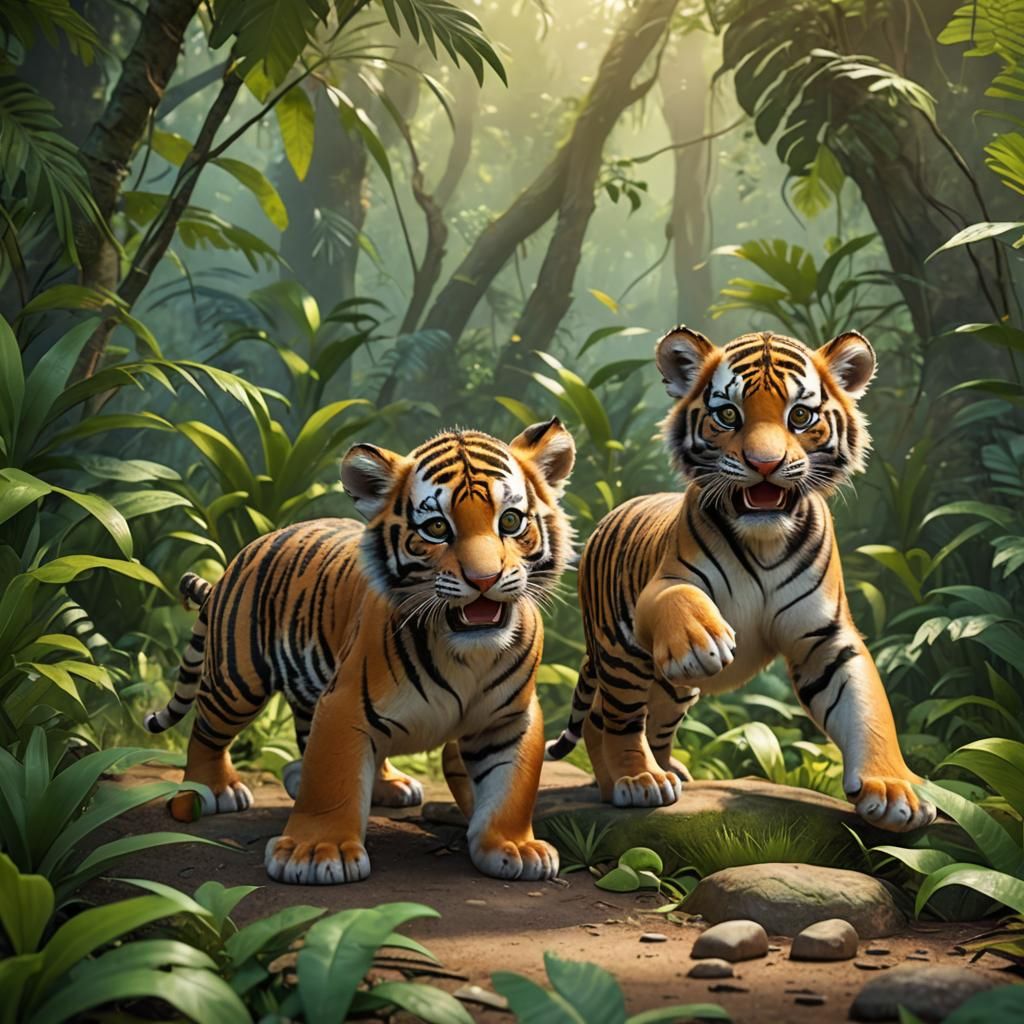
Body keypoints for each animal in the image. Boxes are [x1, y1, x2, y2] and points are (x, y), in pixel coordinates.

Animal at [144, 419, 575, 884]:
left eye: (510, 521)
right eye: (436, 528)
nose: (484, 579)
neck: (465, 652)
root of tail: (252, 547)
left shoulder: (510, 717)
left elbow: (511, 785)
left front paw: (513, 847)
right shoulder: (344, 702)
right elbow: (332, 778)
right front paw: (317, 853)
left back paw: (384, 786)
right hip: (237, 679)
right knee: (207, 731)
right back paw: (208, 791)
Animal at [545, 327, 936, 833]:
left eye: (800, 415)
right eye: (728, 414)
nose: (765, 464)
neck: (765, 539)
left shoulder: (826, 637)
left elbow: (867, 706)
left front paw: (894, 791)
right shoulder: (663, 584)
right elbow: (680, 596)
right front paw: (699, 640)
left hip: (672, 689)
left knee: (648, 722)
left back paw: (667, 771)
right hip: (621, 654)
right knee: (611, 718)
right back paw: (635, 781)